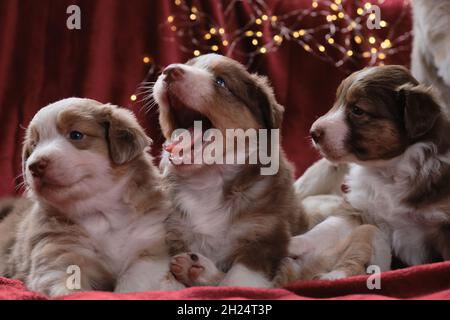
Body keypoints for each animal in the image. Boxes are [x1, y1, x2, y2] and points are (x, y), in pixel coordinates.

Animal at [0, 98, 179, 298]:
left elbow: (132, 285)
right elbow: (67, 287)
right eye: (34, 144)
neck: (101, 212)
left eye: (76, 135)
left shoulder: (149, 251)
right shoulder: (56, 254)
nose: (34, 166)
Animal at [153, 53, 308, 288]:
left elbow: (236, 279)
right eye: (188, 65)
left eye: (221, 82)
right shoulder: (173, 229)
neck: (209, 180)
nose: (170, 71)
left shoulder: (267, 234)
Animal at [308, 65, 450, 268]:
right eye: (336, 102)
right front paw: (291, 245)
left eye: (357, 110)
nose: (313, 132)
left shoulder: (443, 225)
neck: (389, 170)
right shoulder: (359, 208)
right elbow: (324, 230)